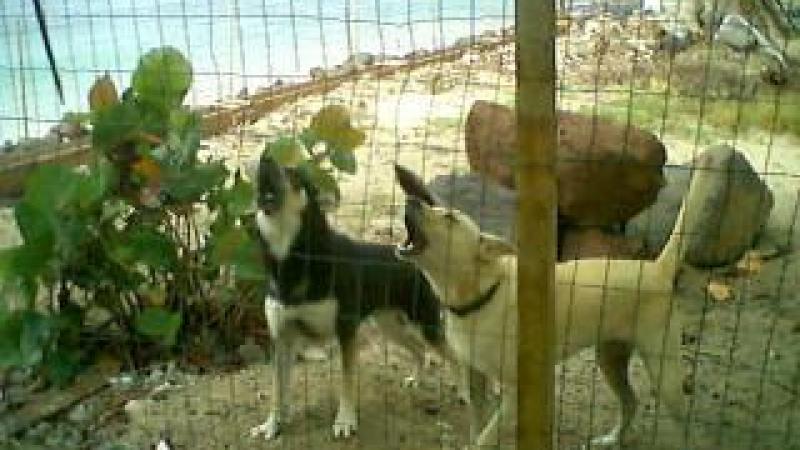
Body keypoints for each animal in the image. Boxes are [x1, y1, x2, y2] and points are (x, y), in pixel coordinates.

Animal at [250, 154, 462, 440]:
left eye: (293, 175)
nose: (265, 158)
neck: (295, 259)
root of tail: (415, 261)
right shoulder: (281, 338)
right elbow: (276, 389)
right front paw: (272, 424)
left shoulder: (346, 331)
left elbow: (347, 381)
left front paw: (345, 421)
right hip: (390, 326)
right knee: (419, 350)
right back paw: (416, 380)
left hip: (426, 325)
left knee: (453, 357)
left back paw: (465, 392)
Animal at [392, 164, 688, 446]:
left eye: (449, 217)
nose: (410, 199)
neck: (484, 294)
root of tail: (656, 269)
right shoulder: (475, 379)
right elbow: (478, 428)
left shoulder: (515, 394)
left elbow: (486, 437)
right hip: (610, 359)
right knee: (630, 402)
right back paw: (611, 439)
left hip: (665, 375)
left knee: (685, 421)